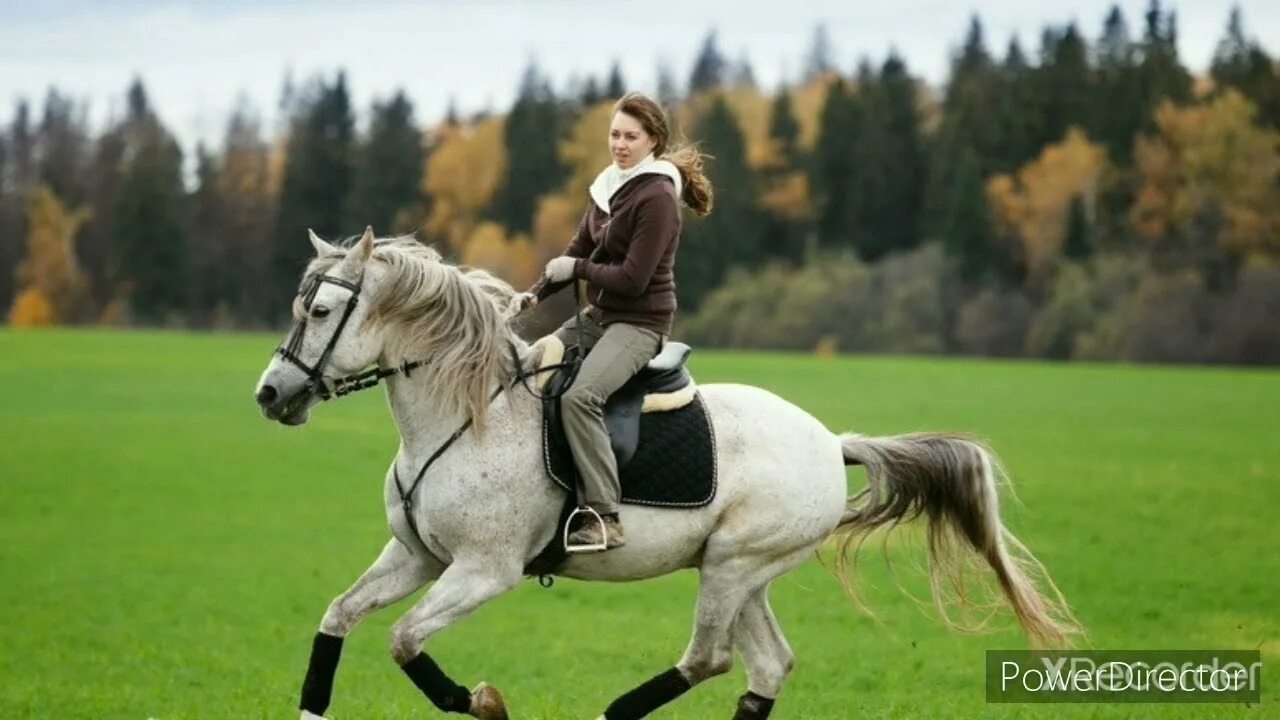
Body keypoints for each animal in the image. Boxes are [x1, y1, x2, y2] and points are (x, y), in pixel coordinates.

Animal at [254, 229, 1075, 717]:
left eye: (321, 311)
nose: (270, 395)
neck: (470, 415)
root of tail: (828, 441)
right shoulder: (417, 556)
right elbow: (338, 618)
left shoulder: (485, 570)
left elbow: (404, 642)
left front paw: (485, 701)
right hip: (742, 574)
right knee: (767, 666)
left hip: (734, 565)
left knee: (709, 657)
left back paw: (610, 715)